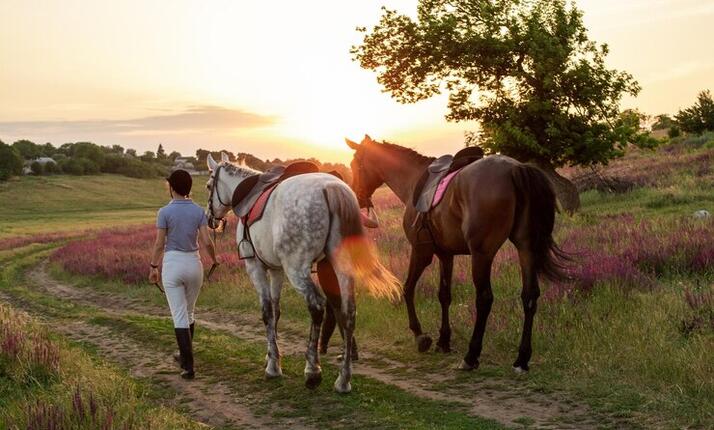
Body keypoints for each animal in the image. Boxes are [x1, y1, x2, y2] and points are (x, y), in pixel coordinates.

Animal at [204, 154, 400, 394]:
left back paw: (313, 371)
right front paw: (272, 355)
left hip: (296, 269)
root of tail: (332, 189)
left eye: (208, 186)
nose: (210, 218)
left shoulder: (256, 267)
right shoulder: (277, 270)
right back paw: (343, 379)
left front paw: (273, 366)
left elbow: (267, 312)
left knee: (317, 306)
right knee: (348, 312)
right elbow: (276, 311)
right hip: (341, 267)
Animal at [344, 135, 568, 372]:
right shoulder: (446, 255)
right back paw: (522, 359)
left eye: (354, 165)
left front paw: (420, 336)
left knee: (484, 298)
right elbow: (444, 295)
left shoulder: (421, 252)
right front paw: (443, 341)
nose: (356, 196)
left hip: (482, 254)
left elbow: (407, 288)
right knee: (530, 296)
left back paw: (471, 356)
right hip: (526, 248)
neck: (413, 181)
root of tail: (516, 168)